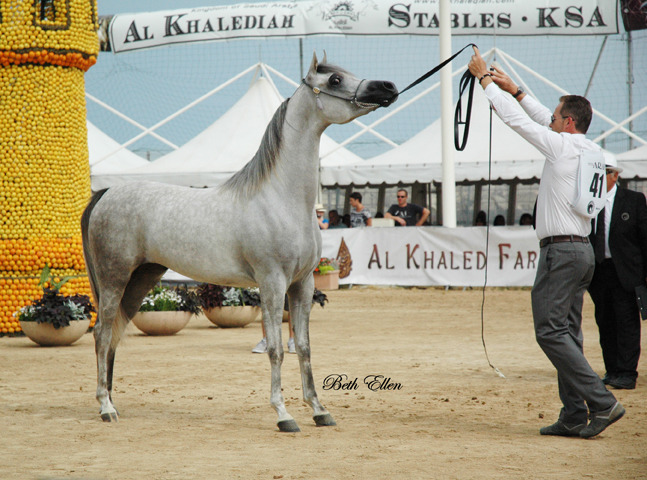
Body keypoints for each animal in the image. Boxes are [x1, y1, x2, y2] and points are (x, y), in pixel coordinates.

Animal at [81, 52, 398, 432]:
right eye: (335, 80)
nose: (388, 87)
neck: (281, 198)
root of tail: (106, 193)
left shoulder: (303, 284)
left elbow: (304, 347)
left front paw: (319, 410)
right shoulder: (272, 283)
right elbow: (276, 349)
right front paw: (284, 415)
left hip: (142, 278)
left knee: (114, 334)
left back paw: (112, 402)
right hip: (114, 278)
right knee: (101, 333)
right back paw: (104, 407)